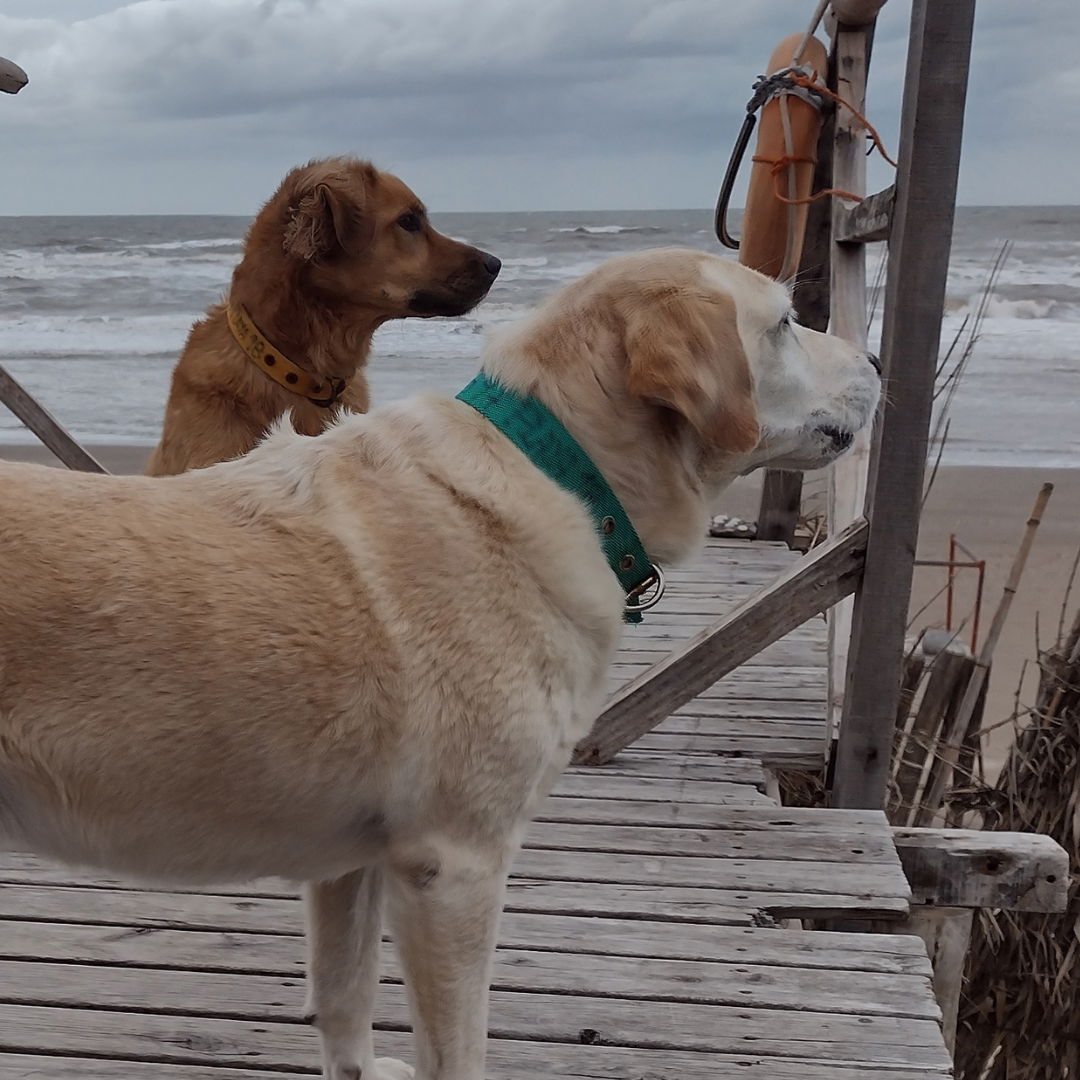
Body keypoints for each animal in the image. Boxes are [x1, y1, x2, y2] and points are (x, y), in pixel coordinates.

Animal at [0, 248, 876, 1075]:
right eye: (786, 323)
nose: (874, 361)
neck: (559, 468)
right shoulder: (456, 867)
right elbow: (457, 1051)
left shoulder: (350, 859)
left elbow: (344, 995)